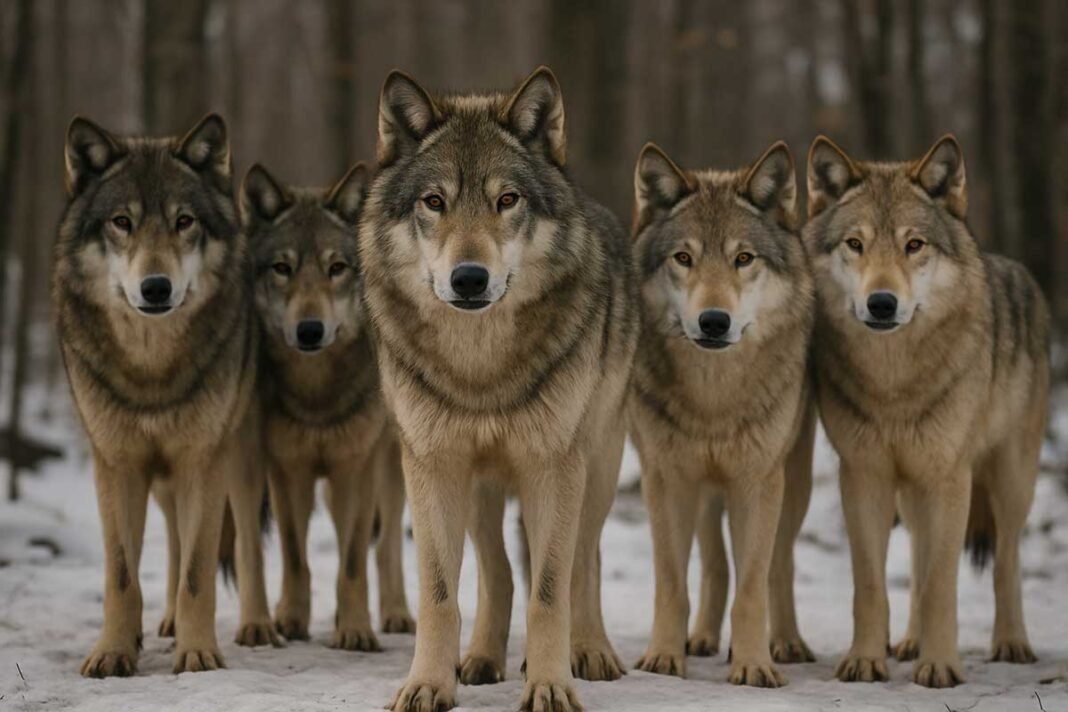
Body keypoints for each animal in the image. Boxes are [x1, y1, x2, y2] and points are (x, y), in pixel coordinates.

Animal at [53, 114, 269, 675]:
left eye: (184, 222)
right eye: (122, 222)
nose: (155, 287)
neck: (152, 371)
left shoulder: (203, 461)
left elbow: (198, 571)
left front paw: (198, 653)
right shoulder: (116, 464)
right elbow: (122, 575)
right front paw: (113, 650)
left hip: (239, 462)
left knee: (246, 548)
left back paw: (257, 626)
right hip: (164, 478)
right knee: (173, 536)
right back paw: (167, 621)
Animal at [240, 162, 413, 650]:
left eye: (336, 268)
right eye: (283, 268)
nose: (310, 330)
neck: (317, 395)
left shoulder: (356, 466)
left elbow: (354, 559)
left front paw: (354, 629)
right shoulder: (287, 469)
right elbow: (295, 555)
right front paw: (290, 619)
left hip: (388, 468)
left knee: (387, 543)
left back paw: (394, 614)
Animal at [358, 66, 639, 712]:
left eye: (506, 200)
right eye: (434, 202)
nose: (469, 278)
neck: (481, 367)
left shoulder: (554, 466)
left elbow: (551, 592)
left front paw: (551, 685)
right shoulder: (432, 466)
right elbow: (439, 595)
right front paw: (428, 684)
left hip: (597, 465)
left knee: (584, 561)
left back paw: (590, 651)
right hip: (482, 487)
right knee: (499, 570)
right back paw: (483, 658)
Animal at [628, 141, 816, 687]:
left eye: (743, 259)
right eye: (684, 258)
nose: (714, 321)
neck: (714, 400)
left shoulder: (758, 482)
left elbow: (753, 585)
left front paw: (754, 664)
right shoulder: (666, 480)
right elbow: (672, 581)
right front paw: (664, 658)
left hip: (791, 484)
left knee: (780, 563)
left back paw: (786, 643)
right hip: (705, 494)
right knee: (715, 563)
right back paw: (703, 639)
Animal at [804, 135, 1050, 687]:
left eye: (914, 245)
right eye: (855, 244)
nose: (882, 303)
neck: (895, 384)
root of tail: (1017, 268)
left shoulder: (950, 477)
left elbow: (943, 584)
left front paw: (940, 666)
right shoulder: (864, 476)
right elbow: (872, 584)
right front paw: (866, 660)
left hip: (1009, 482)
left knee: (1006, 560)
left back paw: (1012, 642)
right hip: (912, 492)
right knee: (917, 559)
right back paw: (910, 642)